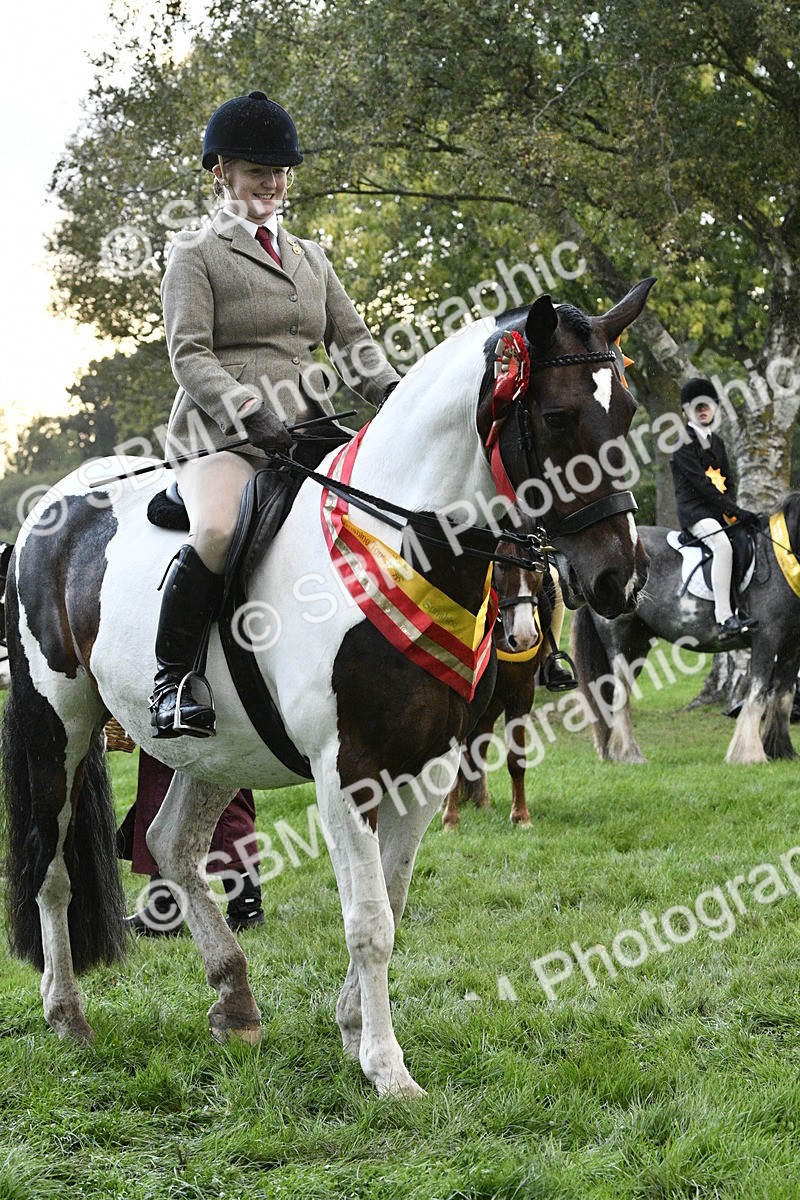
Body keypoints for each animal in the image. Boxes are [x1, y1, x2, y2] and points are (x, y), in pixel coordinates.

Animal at [441, 517, 552, 831]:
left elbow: (516, 758)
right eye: (501, 564)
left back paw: (482, 800)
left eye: (537, 565)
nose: (524, 637)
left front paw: (521, 816)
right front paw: (450, 819)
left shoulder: (521, 693)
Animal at [571, 497, 800, 766]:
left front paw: (781, 751)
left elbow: (783, 695)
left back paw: (616, 753)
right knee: (620, 695)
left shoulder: (792, 645)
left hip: (638, 644)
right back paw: (629, 755)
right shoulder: (766, 638)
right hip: (620, 641)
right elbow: (759, 693)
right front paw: (748, 755)